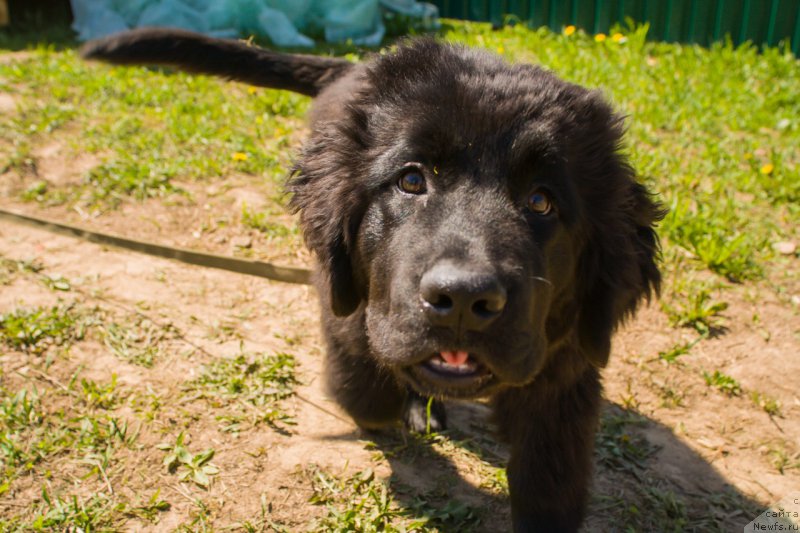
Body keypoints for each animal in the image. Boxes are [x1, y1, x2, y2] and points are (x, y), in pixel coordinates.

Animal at [83, 30, 664, 532]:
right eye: (411, 180)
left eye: (541, 201)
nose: (462, 298)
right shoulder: (348, 308)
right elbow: (367, 390)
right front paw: (397, 402)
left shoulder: (564, 370)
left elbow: (551, 476)